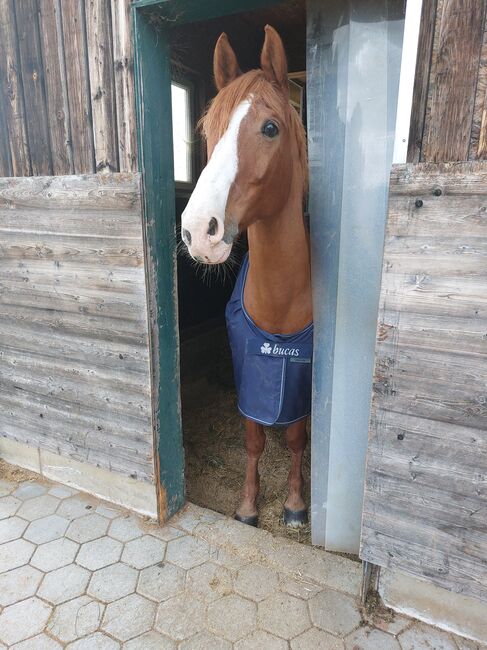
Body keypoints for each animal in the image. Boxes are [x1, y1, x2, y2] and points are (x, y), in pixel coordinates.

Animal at [180, 25, 312, 524]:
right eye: (208, 131)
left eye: (270, 128)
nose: (199, 230)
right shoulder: (247, 371)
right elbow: (253, 439)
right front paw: (248, 505)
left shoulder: (300, 380)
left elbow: (295, 437)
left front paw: (295, 504)